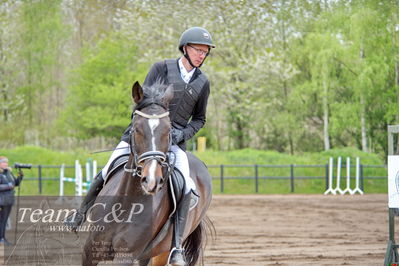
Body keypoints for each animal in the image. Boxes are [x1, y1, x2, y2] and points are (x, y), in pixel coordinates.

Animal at [83, 82, 214, 264]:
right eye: (136, 129)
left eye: (169, 131)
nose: (151, 181)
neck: (126, 203)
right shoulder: (90, 251)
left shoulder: (125, 256)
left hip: (162, 252)